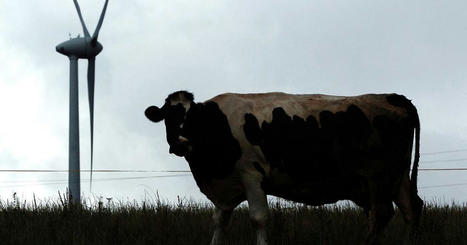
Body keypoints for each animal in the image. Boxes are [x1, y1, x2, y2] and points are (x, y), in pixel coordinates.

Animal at [145, 91, 424, 245]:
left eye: (191, 118)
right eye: (168, 117)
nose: (180, 143)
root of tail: (393, 97)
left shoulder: (251, 175)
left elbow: (258, 218)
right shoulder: (227, 187)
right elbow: (220, 221)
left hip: (379, 176)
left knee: (382, 213)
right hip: (398, 176)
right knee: (411, 208)